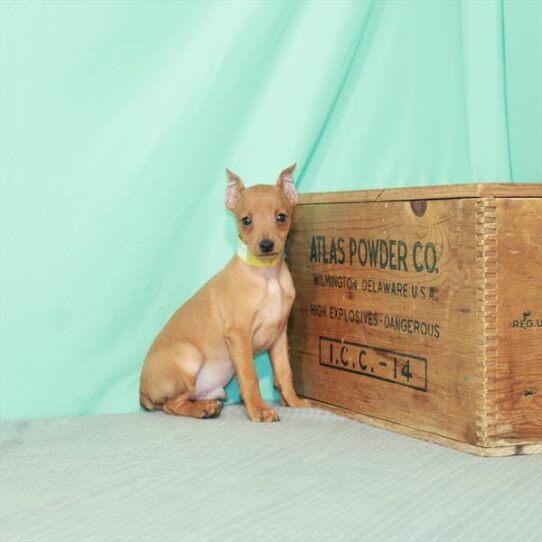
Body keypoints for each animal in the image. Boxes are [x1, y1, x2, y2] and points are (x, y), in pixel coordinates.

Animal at [140, 164, 310, 422]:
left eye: (281, 217)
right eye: (246, 221)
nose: (266, 245)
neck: (268, 276)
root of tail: (141, 390)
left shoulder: (279, 337)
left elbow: (284, 373)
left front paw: (294, 402)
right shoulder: (239, 336)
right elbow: (250, 376)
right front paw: (259, 410)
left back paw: (208, 404)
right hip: (189, 358)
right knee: (171, 405)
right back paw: (203, 409)